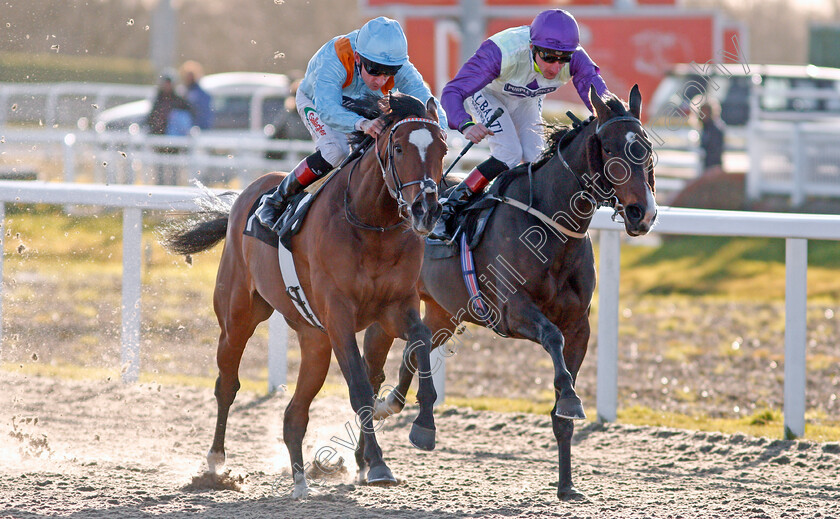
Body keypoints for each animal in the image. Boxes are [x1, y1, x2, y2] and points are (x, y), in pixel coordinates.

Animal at [158, 93, 446, 500]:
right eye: (400, 148)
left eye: (442, 149)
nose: (426, 209)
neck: (372, 224)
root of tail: (247, 194)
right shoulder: (338, 315)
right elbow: (360, 388)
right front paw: (377, 463)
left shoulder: (395, 307)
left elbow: (419, 341)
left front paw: (424, 425)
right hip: (238, 317)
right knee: (227, 384)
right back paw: (215, 463)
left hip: (314, 341)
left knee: (293, 414)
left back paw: (299, 482)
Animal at [360, 85, 656, 500]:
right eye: (612, 148)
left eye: (646, 147)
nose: (642, 213)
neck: (551, 227)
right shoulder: (513, 311)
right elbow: (552, 338)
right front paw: (570, 399)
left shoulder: (579, 327)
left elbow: (563, 404)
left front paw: (567, 485)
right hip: (392, 308)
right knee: (373, 370)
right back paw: (368, 460)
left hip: (444, 311)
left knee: (413, 351)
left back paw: (410, 419)